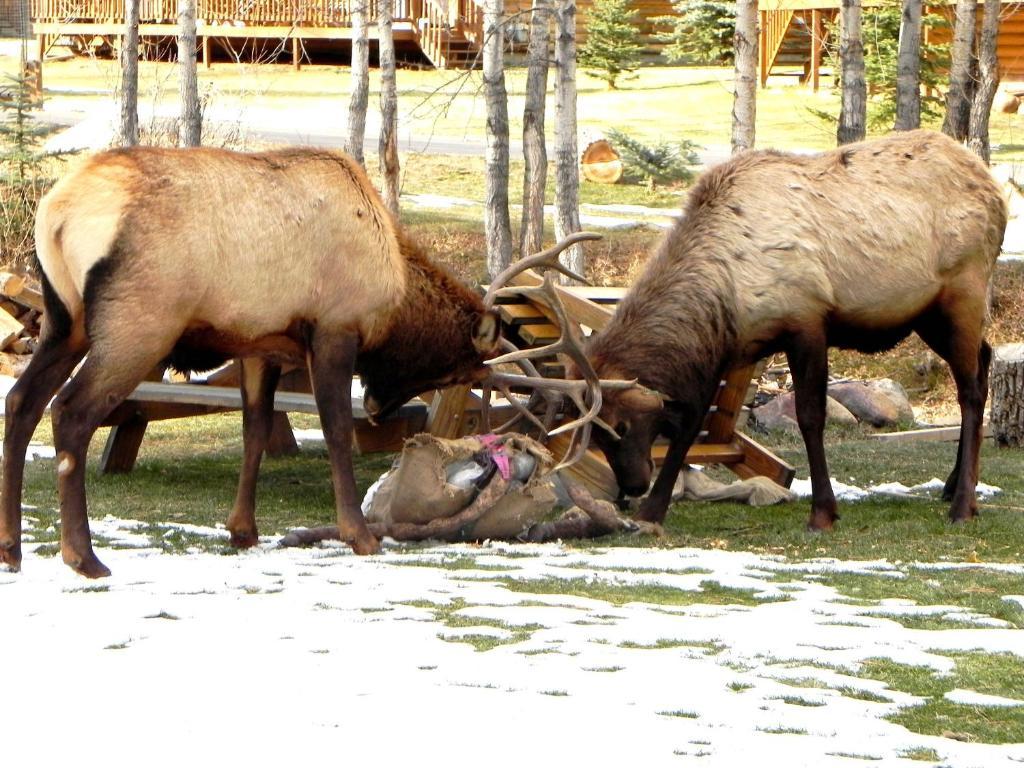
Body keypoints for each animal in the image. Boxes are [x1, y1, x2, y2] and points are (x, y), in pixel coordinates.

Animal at [0, 145, 503, 577]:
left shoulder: (261, 346)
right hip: (136, 327)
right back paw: (83, 556)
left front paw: (242, 529)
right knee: (70, 412)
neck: (393, 300)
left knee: (22, 402)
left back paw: (12, 548)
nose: (379, 409)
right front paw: (359, 535)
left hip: (65, 321)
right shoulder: (334, 330)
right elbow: (336, 431)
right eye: (453, 370)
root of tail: (55, 214)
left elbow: (255, 430)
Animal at [577, 129, 1007, 532]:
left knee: (971, 391)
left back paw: (963, 505)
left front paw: (823, 513)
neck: (724, 294)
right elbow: (691, 423)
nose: (631, 486)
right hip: (927, 316)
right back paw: (952, 486)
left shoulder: (807, 323)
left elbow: (810, 416)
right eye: (596, 434)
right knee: (986, 356)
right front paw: (653, 512)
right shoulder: (731, 345)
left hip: (963, 294)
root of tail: (995, 192)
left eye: (619, 425)